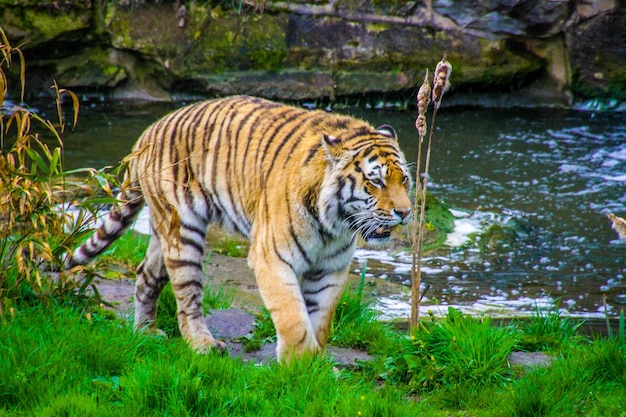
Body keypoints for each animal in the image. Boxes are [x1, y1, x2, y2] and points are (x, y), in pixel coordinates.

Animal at [66, 96, 412, 360]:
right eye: (376, 181)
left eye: (405, 179)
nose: (406, 212)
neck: (334, 224)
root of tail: (149, 131)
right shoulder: (273, 258)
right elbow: (293, 318)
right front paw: (299, 368)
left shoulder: (331, 268)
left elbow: (320, 320)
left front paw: (317, 368)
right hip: (184, 231)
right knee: (187, 296)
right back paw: (203, 345)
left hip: (163, 231)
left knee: (146, 275)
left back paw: (145, 332)